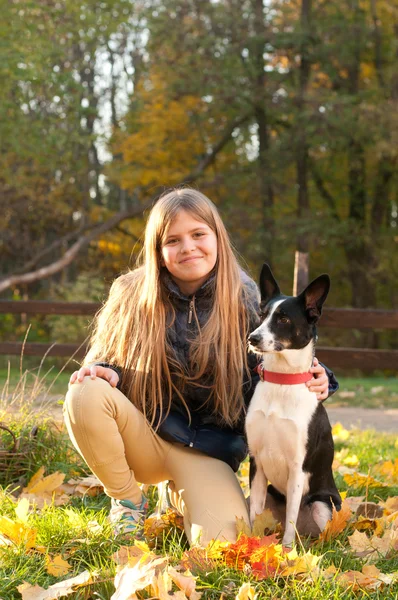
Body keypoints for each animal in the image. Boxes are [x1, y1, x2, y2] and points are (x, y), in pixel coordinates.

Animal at [247, 264, 340, 548]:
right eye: (262, 315)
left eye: (284, 319)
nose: (252, 338)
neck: (282, 382)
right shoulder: (256, 462)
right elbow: (254, 513)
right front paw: (250, 542)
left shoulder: (298, 468)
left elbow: (290, 518)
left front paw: (286, 552)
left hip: (323, 505)